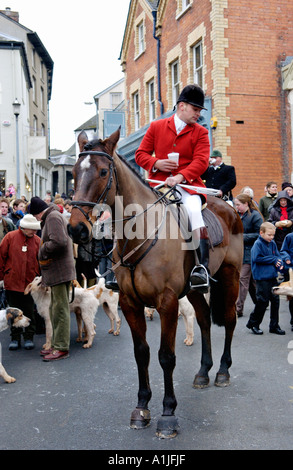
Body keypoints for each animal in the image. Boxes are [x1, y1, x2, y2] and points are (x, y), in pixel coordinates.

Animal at [68, 127, 242, 436]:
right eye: (75, 172)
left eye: (103, 171)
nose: (76, 229)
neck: (140, 232)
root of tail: (229, 207)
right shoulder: (130, 303)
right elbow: (142, 353)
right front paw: (142, 407)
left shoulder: (167, 303)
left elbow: (166, 356)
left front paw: (168, 413)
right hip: (194, 291)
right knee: (204, 320)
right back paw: (203, 372)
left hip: (229, 278)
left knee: (230, 320)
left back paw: (222, 371)